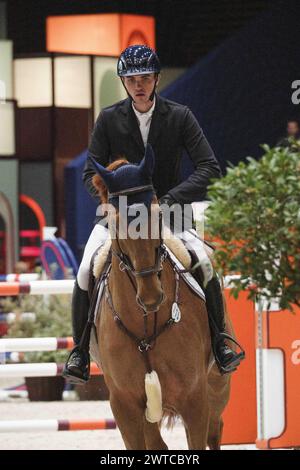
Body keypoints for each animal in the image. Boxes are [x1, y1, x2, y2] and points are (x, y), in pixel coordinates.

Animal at [92, 145, 231, 450]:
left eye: (157, 213)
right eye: (116, 222)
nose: (151, 295)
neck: (145, 328)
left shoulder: (195, 400)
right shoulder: (125, 406)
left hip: (217, 388)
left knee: (216, 431)